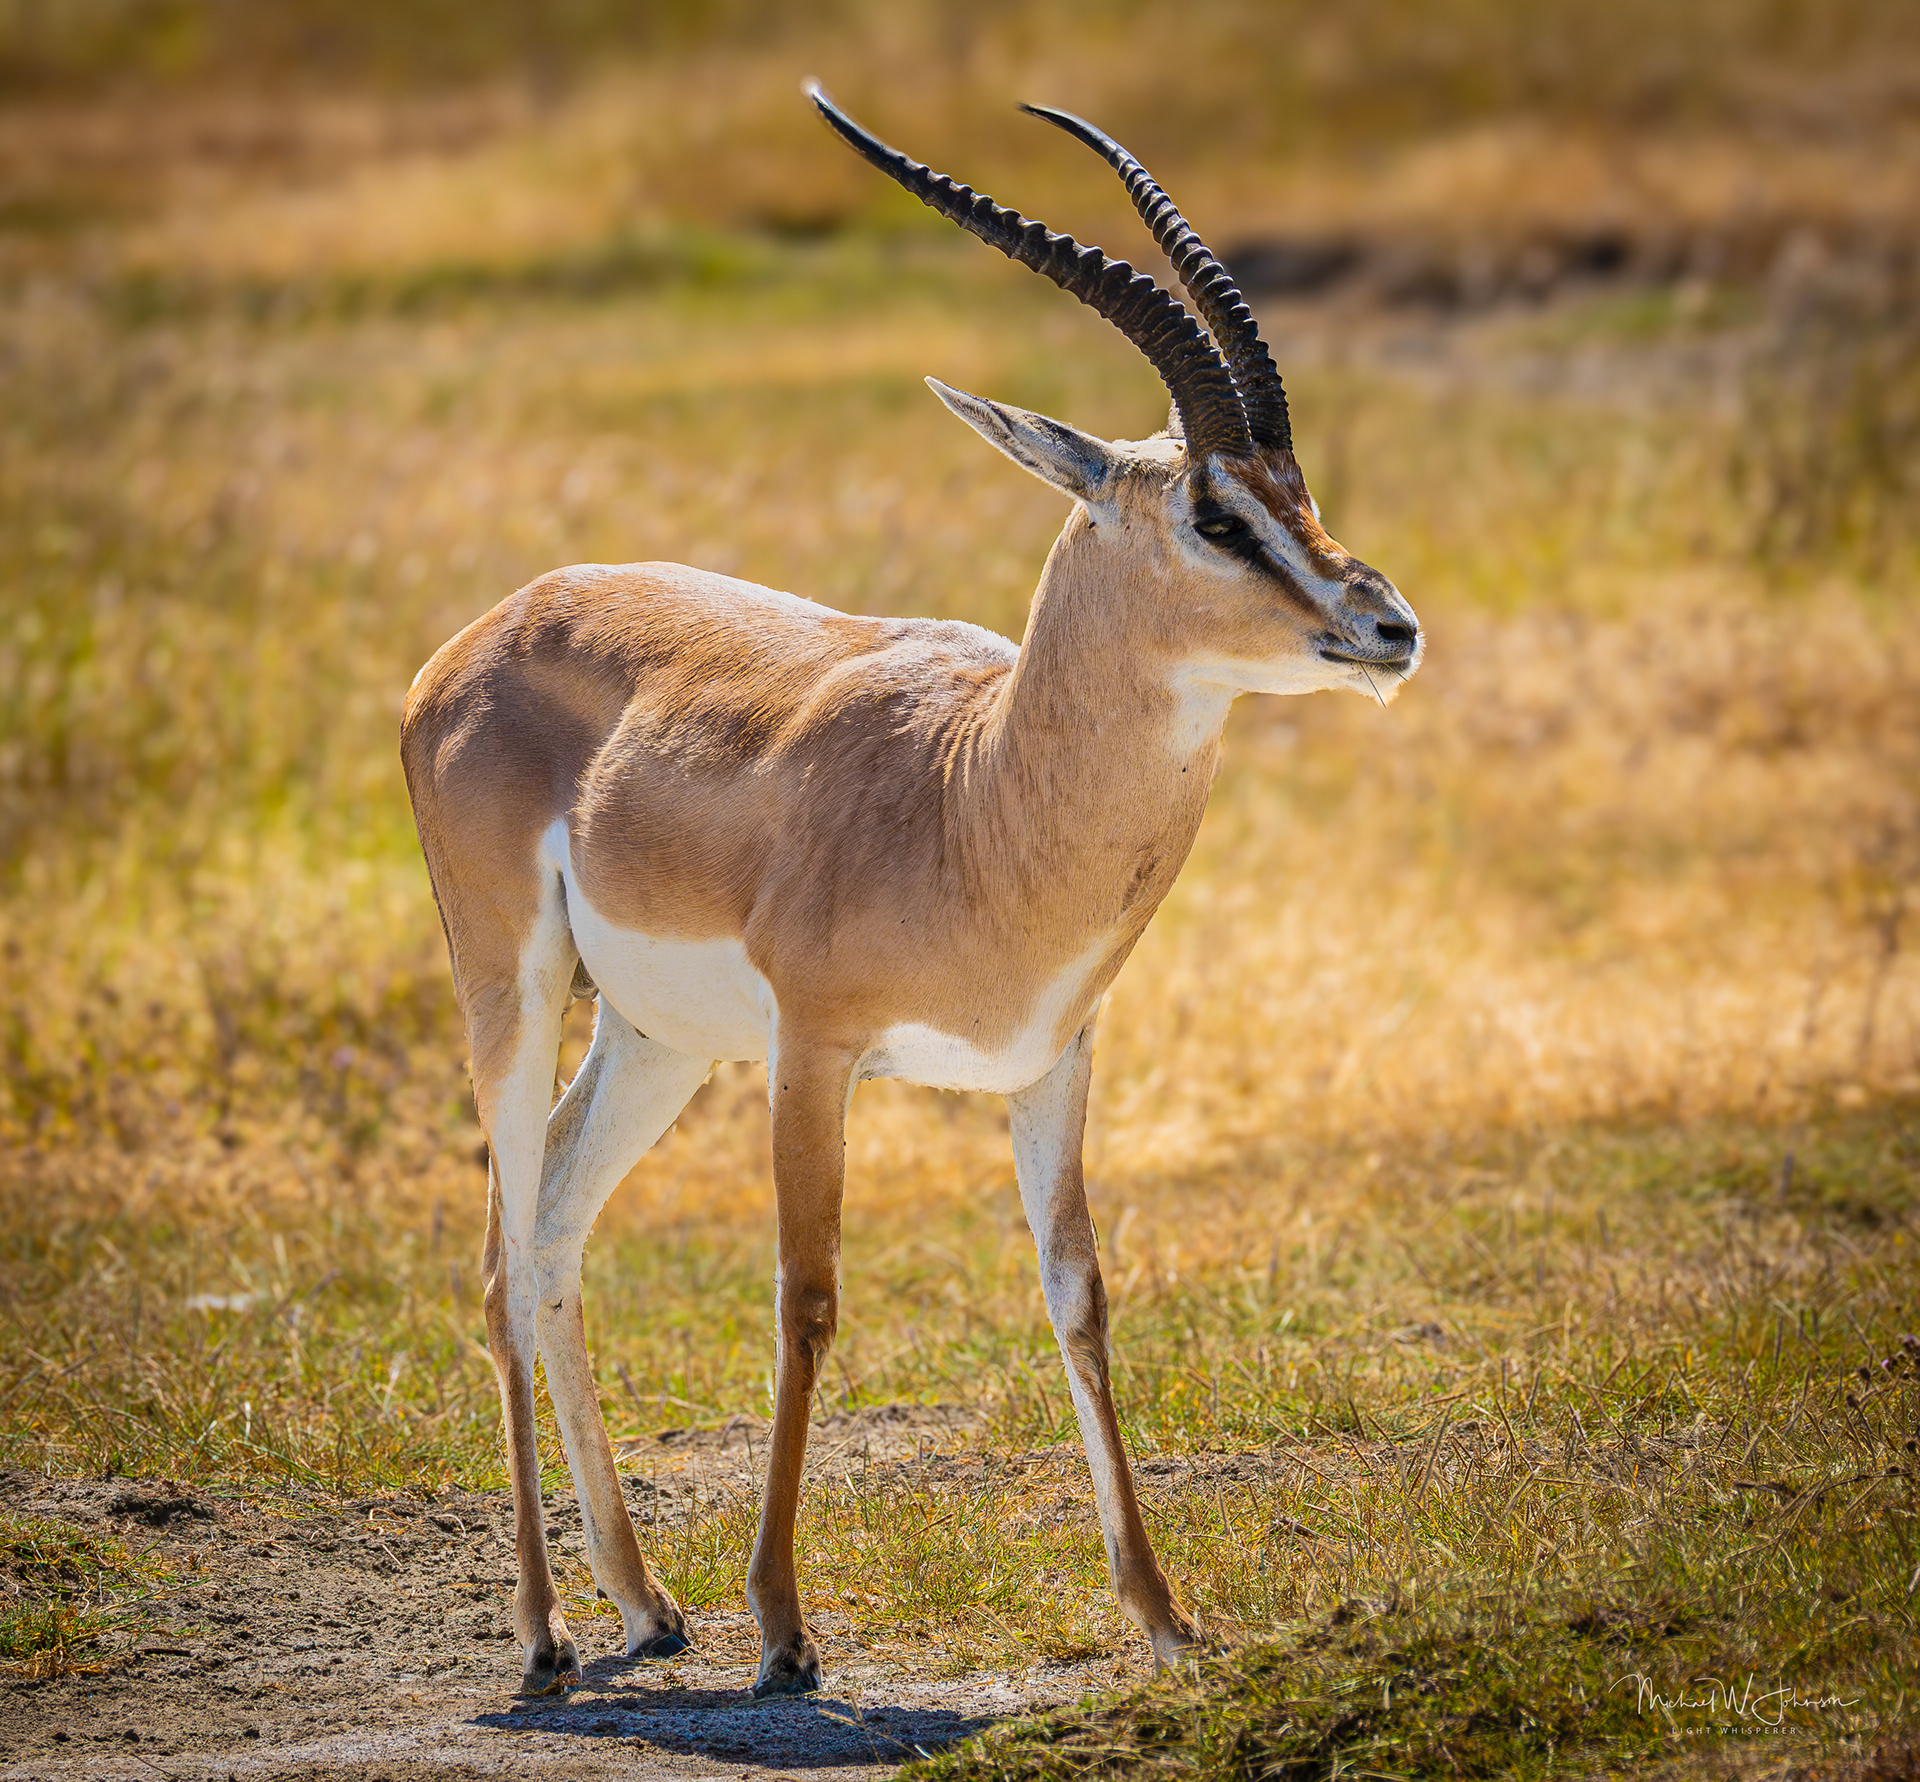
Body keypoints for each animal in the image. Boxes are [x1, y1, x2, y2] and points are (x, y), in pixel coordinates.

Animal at [400, 84, 1421, 1700]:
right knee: (503, 1251)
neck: (976, 796)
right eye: (1214, 512)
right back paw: (549, 1635)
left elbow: (1081, 1294)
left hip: (655, 1039)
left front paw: (1163, 1611)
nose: (1389, 626)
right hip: (512, 983)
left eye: (1297, 490)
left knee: (552, 1226)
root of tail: (486, 629)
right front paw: (785, 1630)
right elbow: (806, 1298)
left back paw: (643, 1604)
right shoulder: (815, 1055)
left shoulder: (1054, 1059)